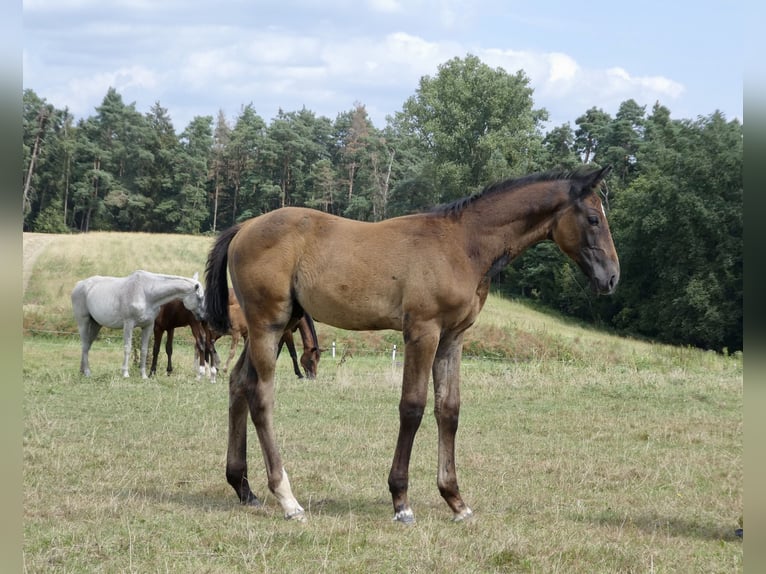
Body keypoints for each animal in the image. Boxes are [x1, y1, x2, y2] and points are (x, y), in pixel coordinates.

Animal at [70, 272, 204, 380]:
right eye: (200, 297)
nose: (203, 317)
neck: (146, 292)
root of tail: (79, 285)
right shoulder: (129, 324)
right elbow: (127, 347)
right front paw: (125, 374)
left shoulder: (148, 326)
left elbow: (144, 349)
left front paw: (144, 375)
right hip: (83, 322)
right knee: (84, 345)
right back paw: (87, 372)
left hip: (96, 325)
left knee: (87, 345)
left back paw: (83, 371)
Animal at [202, 164, 616, 524]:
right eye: (593, 219)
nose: (612, 277)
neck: (461, 245)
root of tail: (244, 226)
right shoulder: (423, 331)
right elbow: (413, 407)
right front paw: (401, 501)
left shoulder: (453, 338)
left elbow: (449, 410)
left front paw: (456, 501)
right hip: (268, 324)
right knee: (261, 396)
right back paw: (287, 499)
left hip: (279, 324)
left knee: (238, 383)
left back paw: (244, 487)